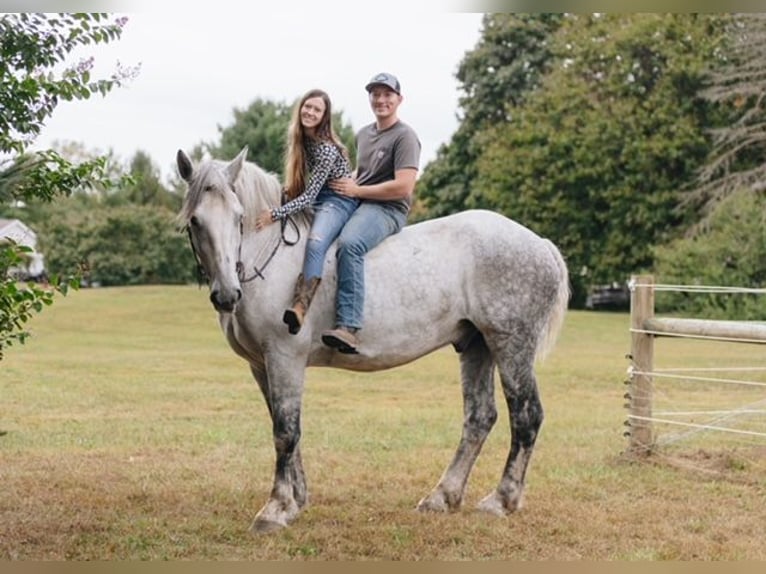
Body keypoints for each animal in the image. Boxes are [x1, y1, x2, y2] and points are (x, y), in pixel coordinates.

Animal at [176, 148, 568, 536]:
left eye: (239, 217)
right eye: (195, 221)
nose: (227, 295)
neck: (273, 259)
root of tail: (541, 245)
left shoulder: (284, 358)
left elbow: (285, 432)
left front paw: (276, 509)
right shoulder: (262, 365)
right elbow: (285, 427)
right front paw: (297, 499)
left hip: (511, 345)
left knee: (526, 416)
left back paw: (501, 500)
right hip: (477, 346)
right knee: (479, 417)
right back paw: (442, 496)